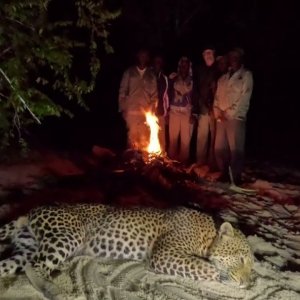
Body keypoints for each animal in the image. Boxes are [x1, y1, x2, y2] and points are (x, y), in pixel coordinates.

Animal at [0, 203, 253, 290]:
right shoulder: (165, 254)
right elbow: (205, 268)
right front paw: (228, 279)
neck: (208, 234)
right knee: (37, 267)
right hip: (68, 236)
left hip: (25, 249)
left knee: (17, 265)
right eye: (241, 259)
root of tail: (30, 211)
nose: (247, 283)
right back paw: (53, 289)